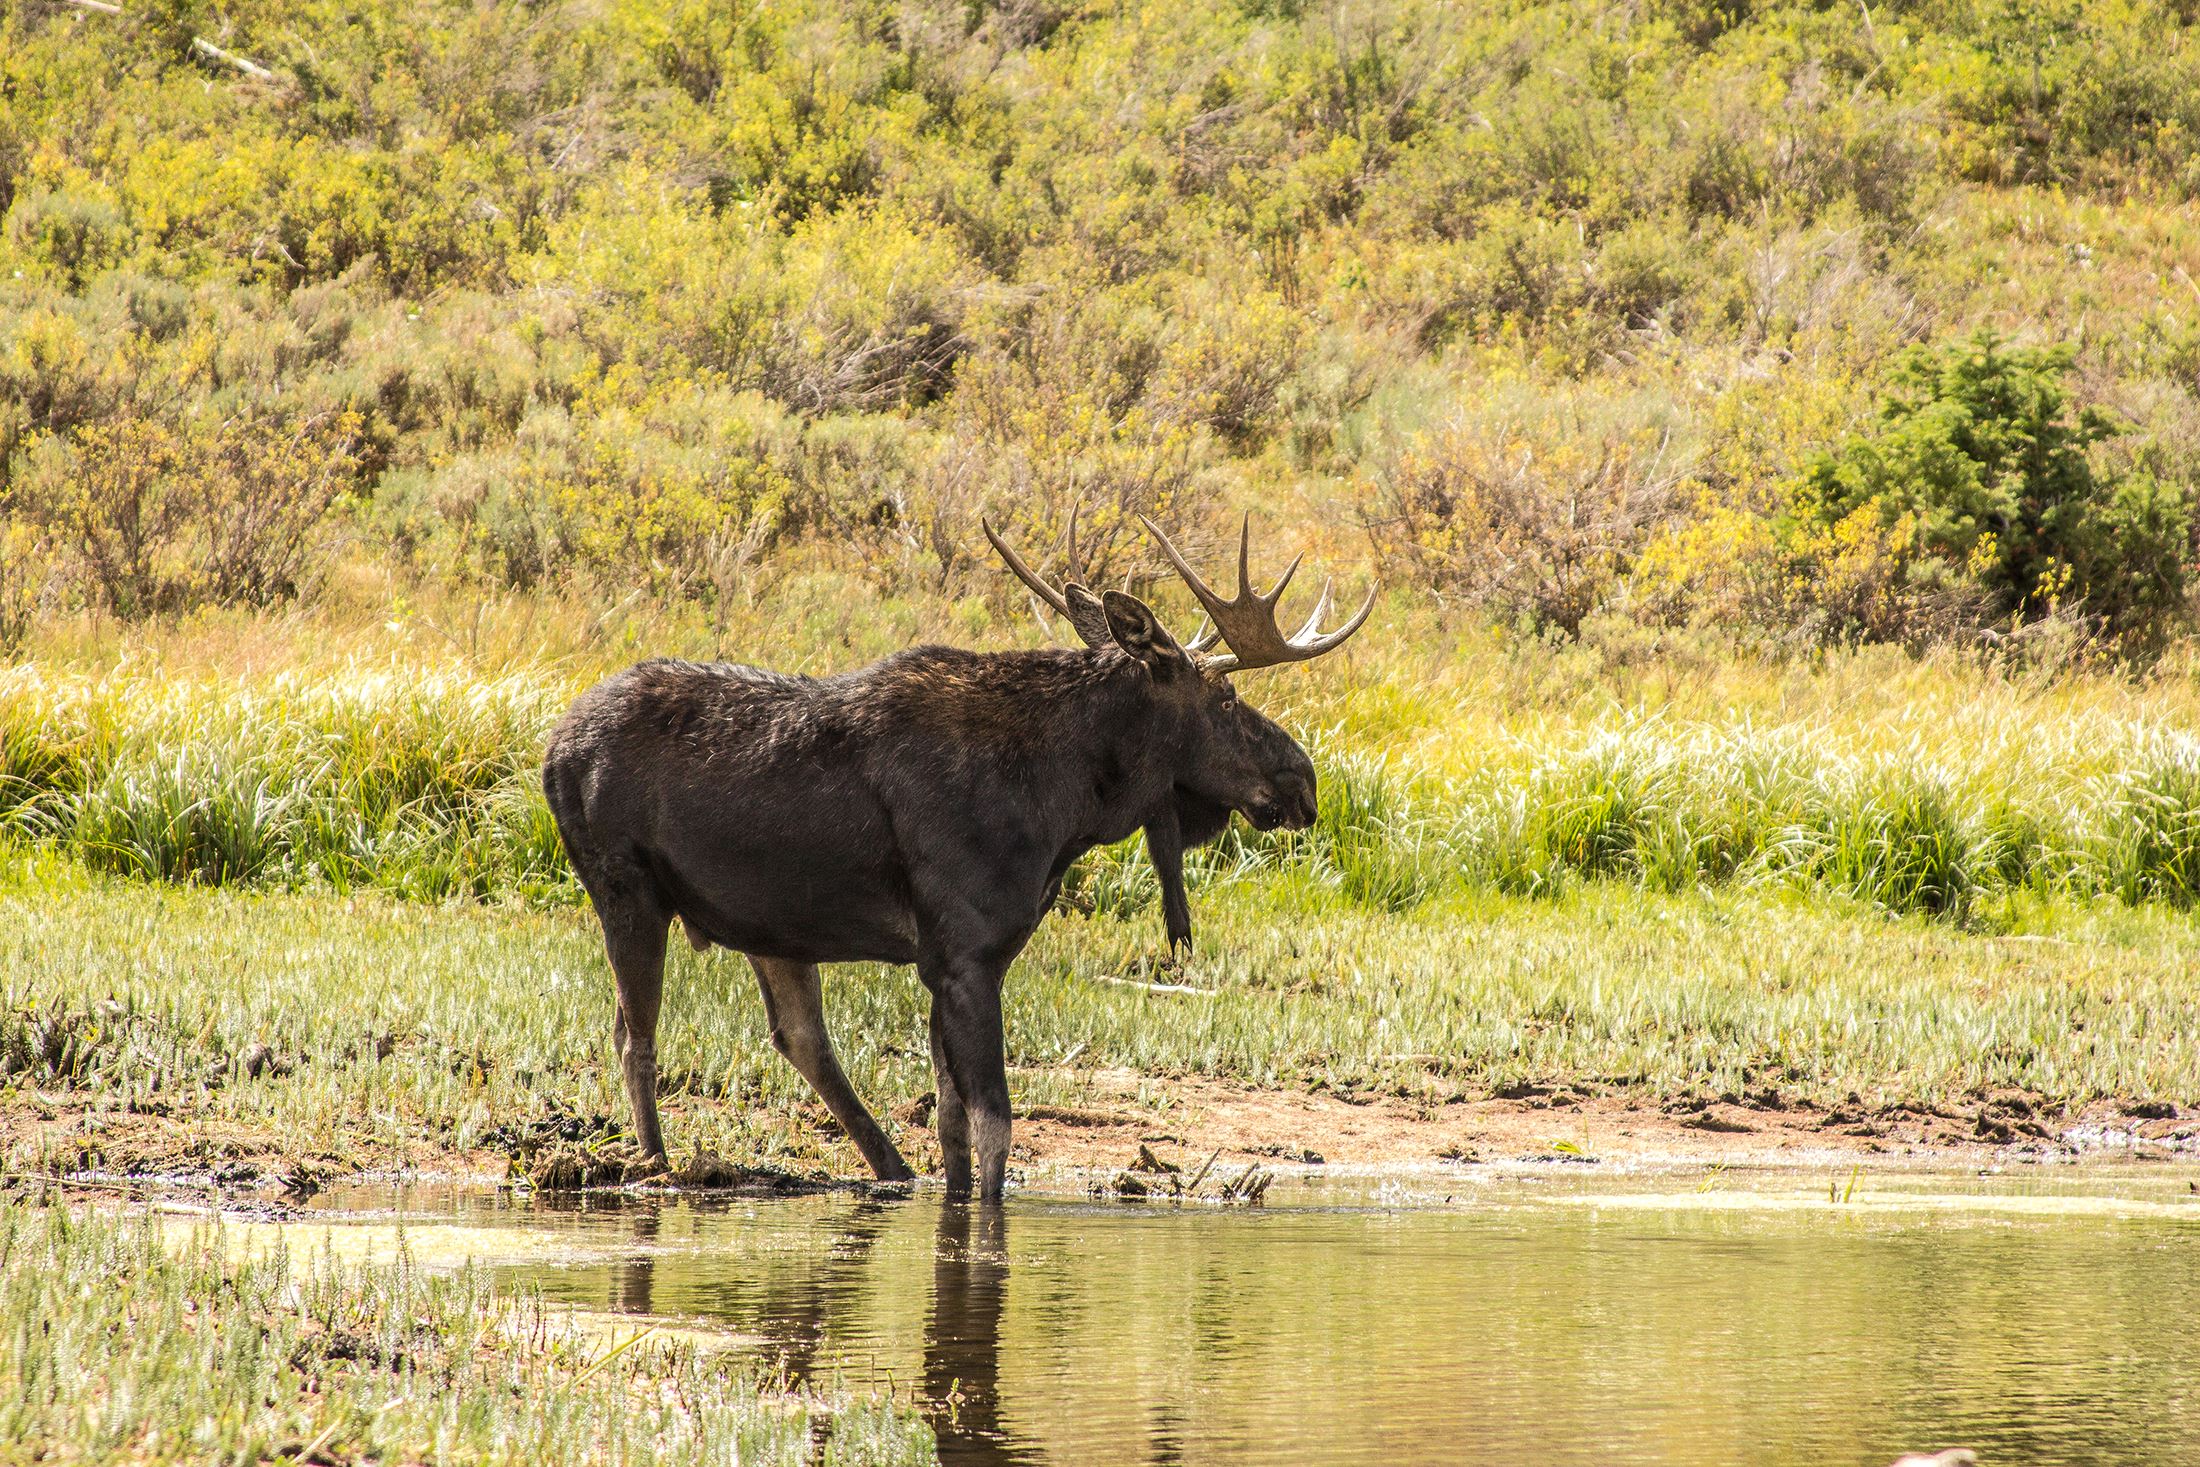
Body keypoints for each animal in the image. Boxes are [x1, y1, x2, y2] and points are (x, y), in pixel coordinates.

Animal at [541, 514, 1373, 1201]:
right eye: (1225, 700)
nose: (1303, 779)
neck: (1064, 805)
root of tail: (552, 751)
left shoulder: (942, 960)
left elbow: (953, 1132)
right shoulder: (968, 953)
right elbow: (995, 1127)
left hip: (769, 924)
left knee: (797, 1036)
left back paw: (888, 1167)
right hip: (626, 888)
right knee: (636, 1036)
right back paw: (655, 1166)